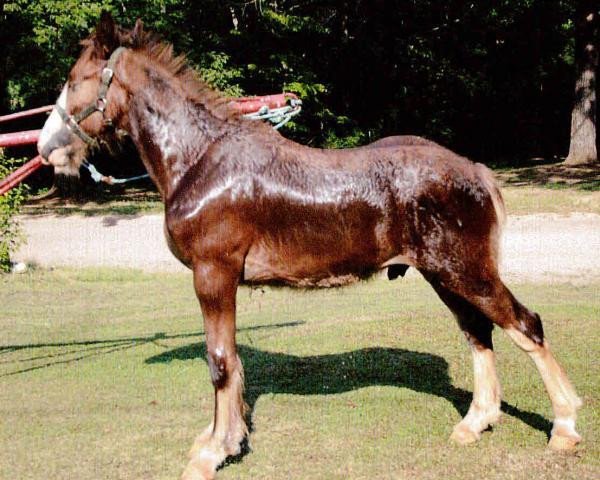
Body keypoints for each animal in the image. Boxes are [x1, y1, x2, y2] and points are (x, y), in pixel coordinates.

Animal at [36, 13, 580, 480]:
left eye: (76, 78)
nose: (46, 147)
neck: (200, 159)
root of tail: (477, 172)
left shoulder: (213, 273)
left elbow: (220, 361)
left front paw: (214, 452)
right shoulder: (221, 279)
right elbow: (231, 361)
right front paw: (223, 438)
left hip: (464, 271)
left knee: (524, 325)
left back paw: (565, 427)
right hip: (444, 274)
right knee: (477, 332)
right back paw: (475, 423)